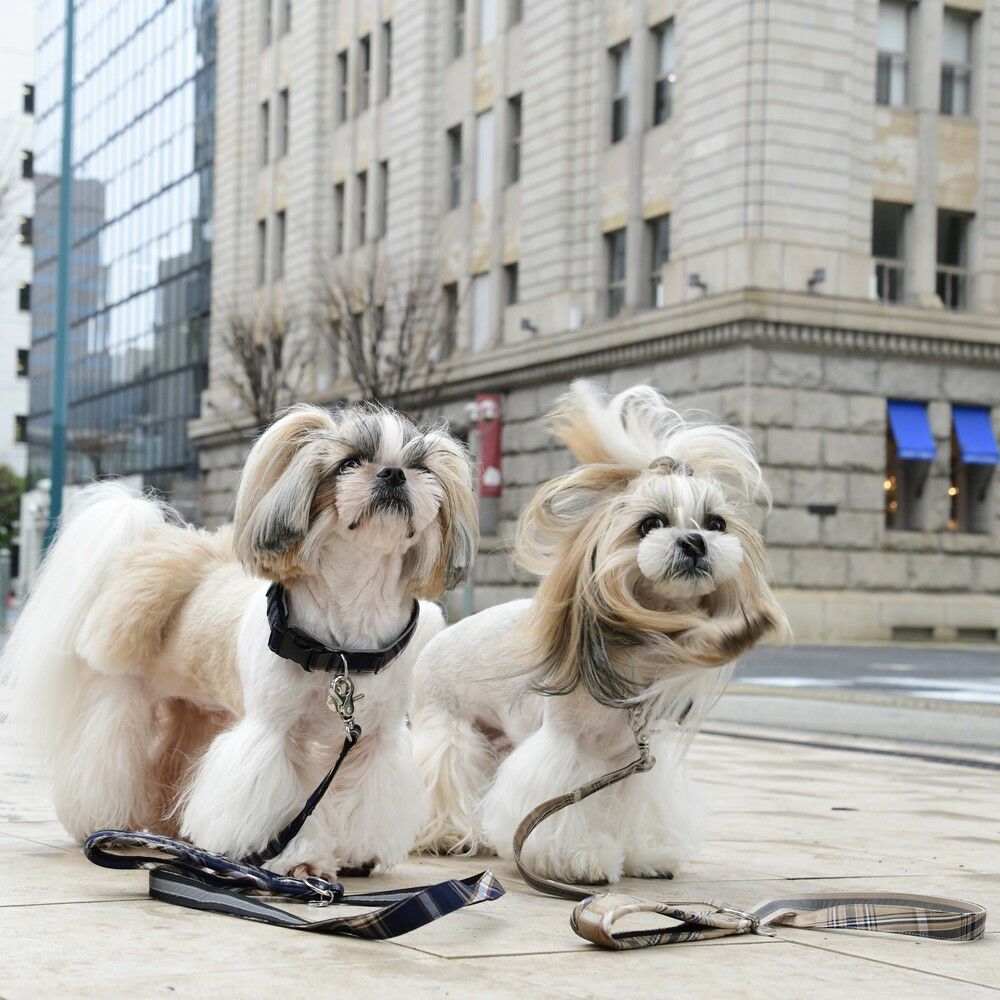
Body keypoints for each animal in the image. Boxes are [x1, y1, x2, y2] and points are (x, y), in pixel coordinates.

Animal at [5, 403, 477, 879]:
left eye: (422, 468)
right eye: (348, 463)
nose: (394, 473)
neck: (344, 646)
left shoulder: (375, 739)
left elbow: (367, 796)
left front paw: (358, 853)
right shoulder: (273, 736)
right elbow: (279, 803)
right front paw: (299, 860)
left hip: (200, 710)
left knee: (175, 759)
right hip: (124, 696)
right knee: (108, 755)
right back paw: (106, 820)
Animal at [411, 381, 788, 884]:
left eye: (716, 523)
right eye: (651, 523)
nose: (695, 542)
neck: (634, 654)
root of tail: (435, 635)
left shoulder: (632, 762)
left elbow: (640, 807)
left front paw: (648, 853)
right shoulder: (567, 752)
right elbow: (562, 807)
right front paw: (578, 858)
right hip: (449, 728)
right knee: (441, 773)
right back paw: (445, 833)